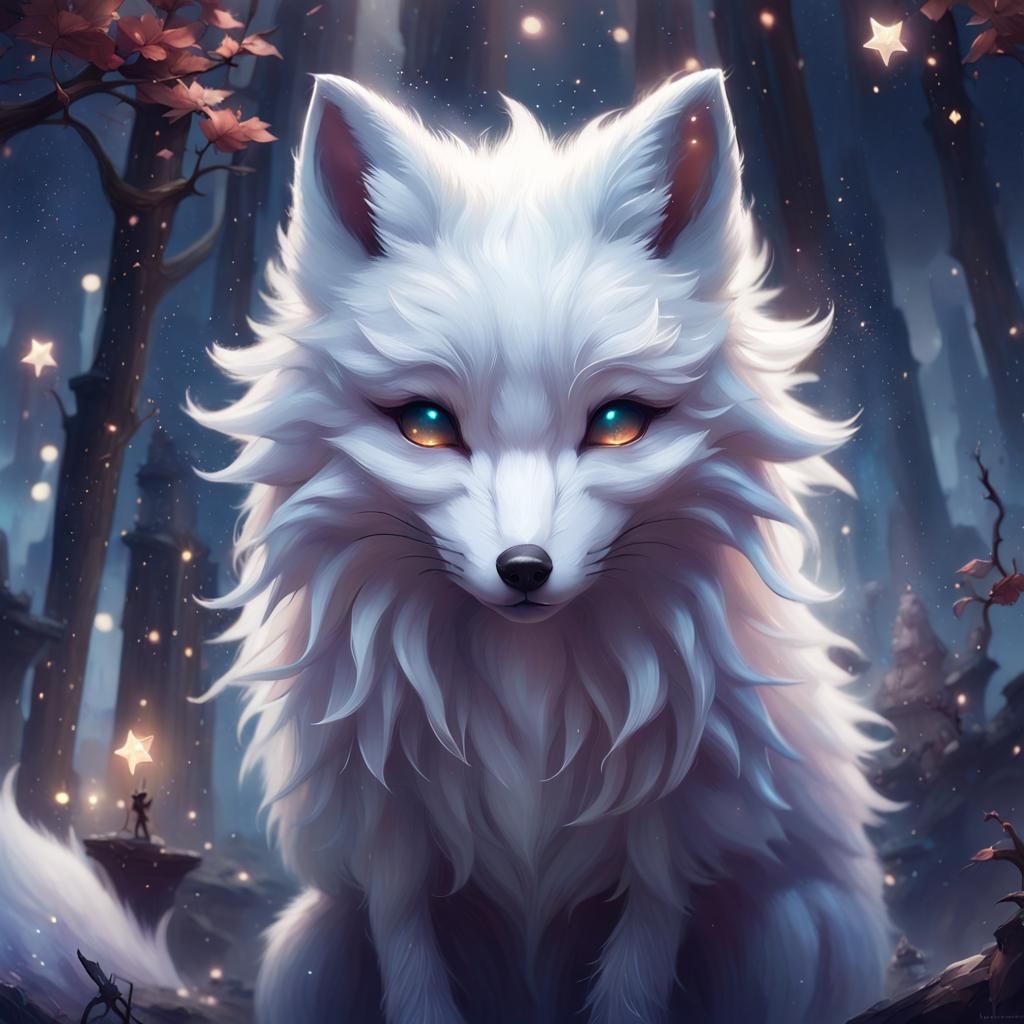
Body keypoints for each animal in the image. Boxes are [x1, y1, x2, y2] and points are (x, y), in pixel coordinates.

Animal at [0, 71, 890, 1024]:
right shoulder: (391, 843)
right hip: (312, 951)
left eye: (618, 423)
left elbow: (636, 974)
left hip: (795, 937)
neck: (529, 685)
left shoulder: (674, 841)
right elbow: (413, 967)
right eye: (426, 424)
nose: (525, 568)